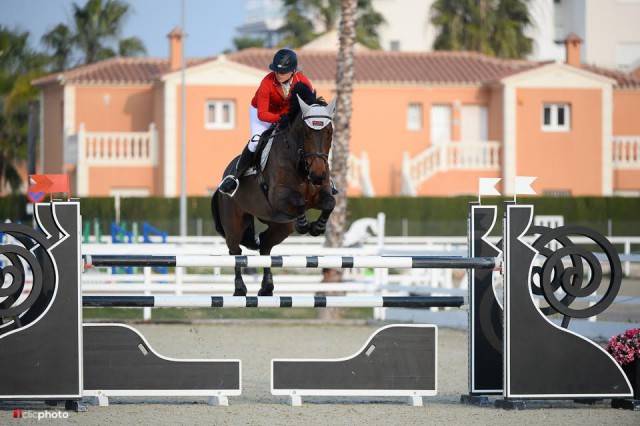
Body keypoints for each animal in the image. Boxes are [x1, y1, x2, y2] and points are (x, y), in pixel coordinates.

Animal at [212, 83, 338, 296]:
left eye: (329, 132)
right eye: (306, 133)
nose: (318, 175)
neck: (301, 162)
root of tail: (225, 174)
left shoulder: (321, 194)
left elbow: (330, 202)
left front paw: (317, 227)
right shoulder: (278, 196)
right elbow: (298, 200)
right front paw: (304, 225)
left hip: (281, 226)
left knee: (265, 246)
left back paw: (267, 287)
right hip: (234, 221)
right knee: (236, 251)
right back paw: (240, 289)